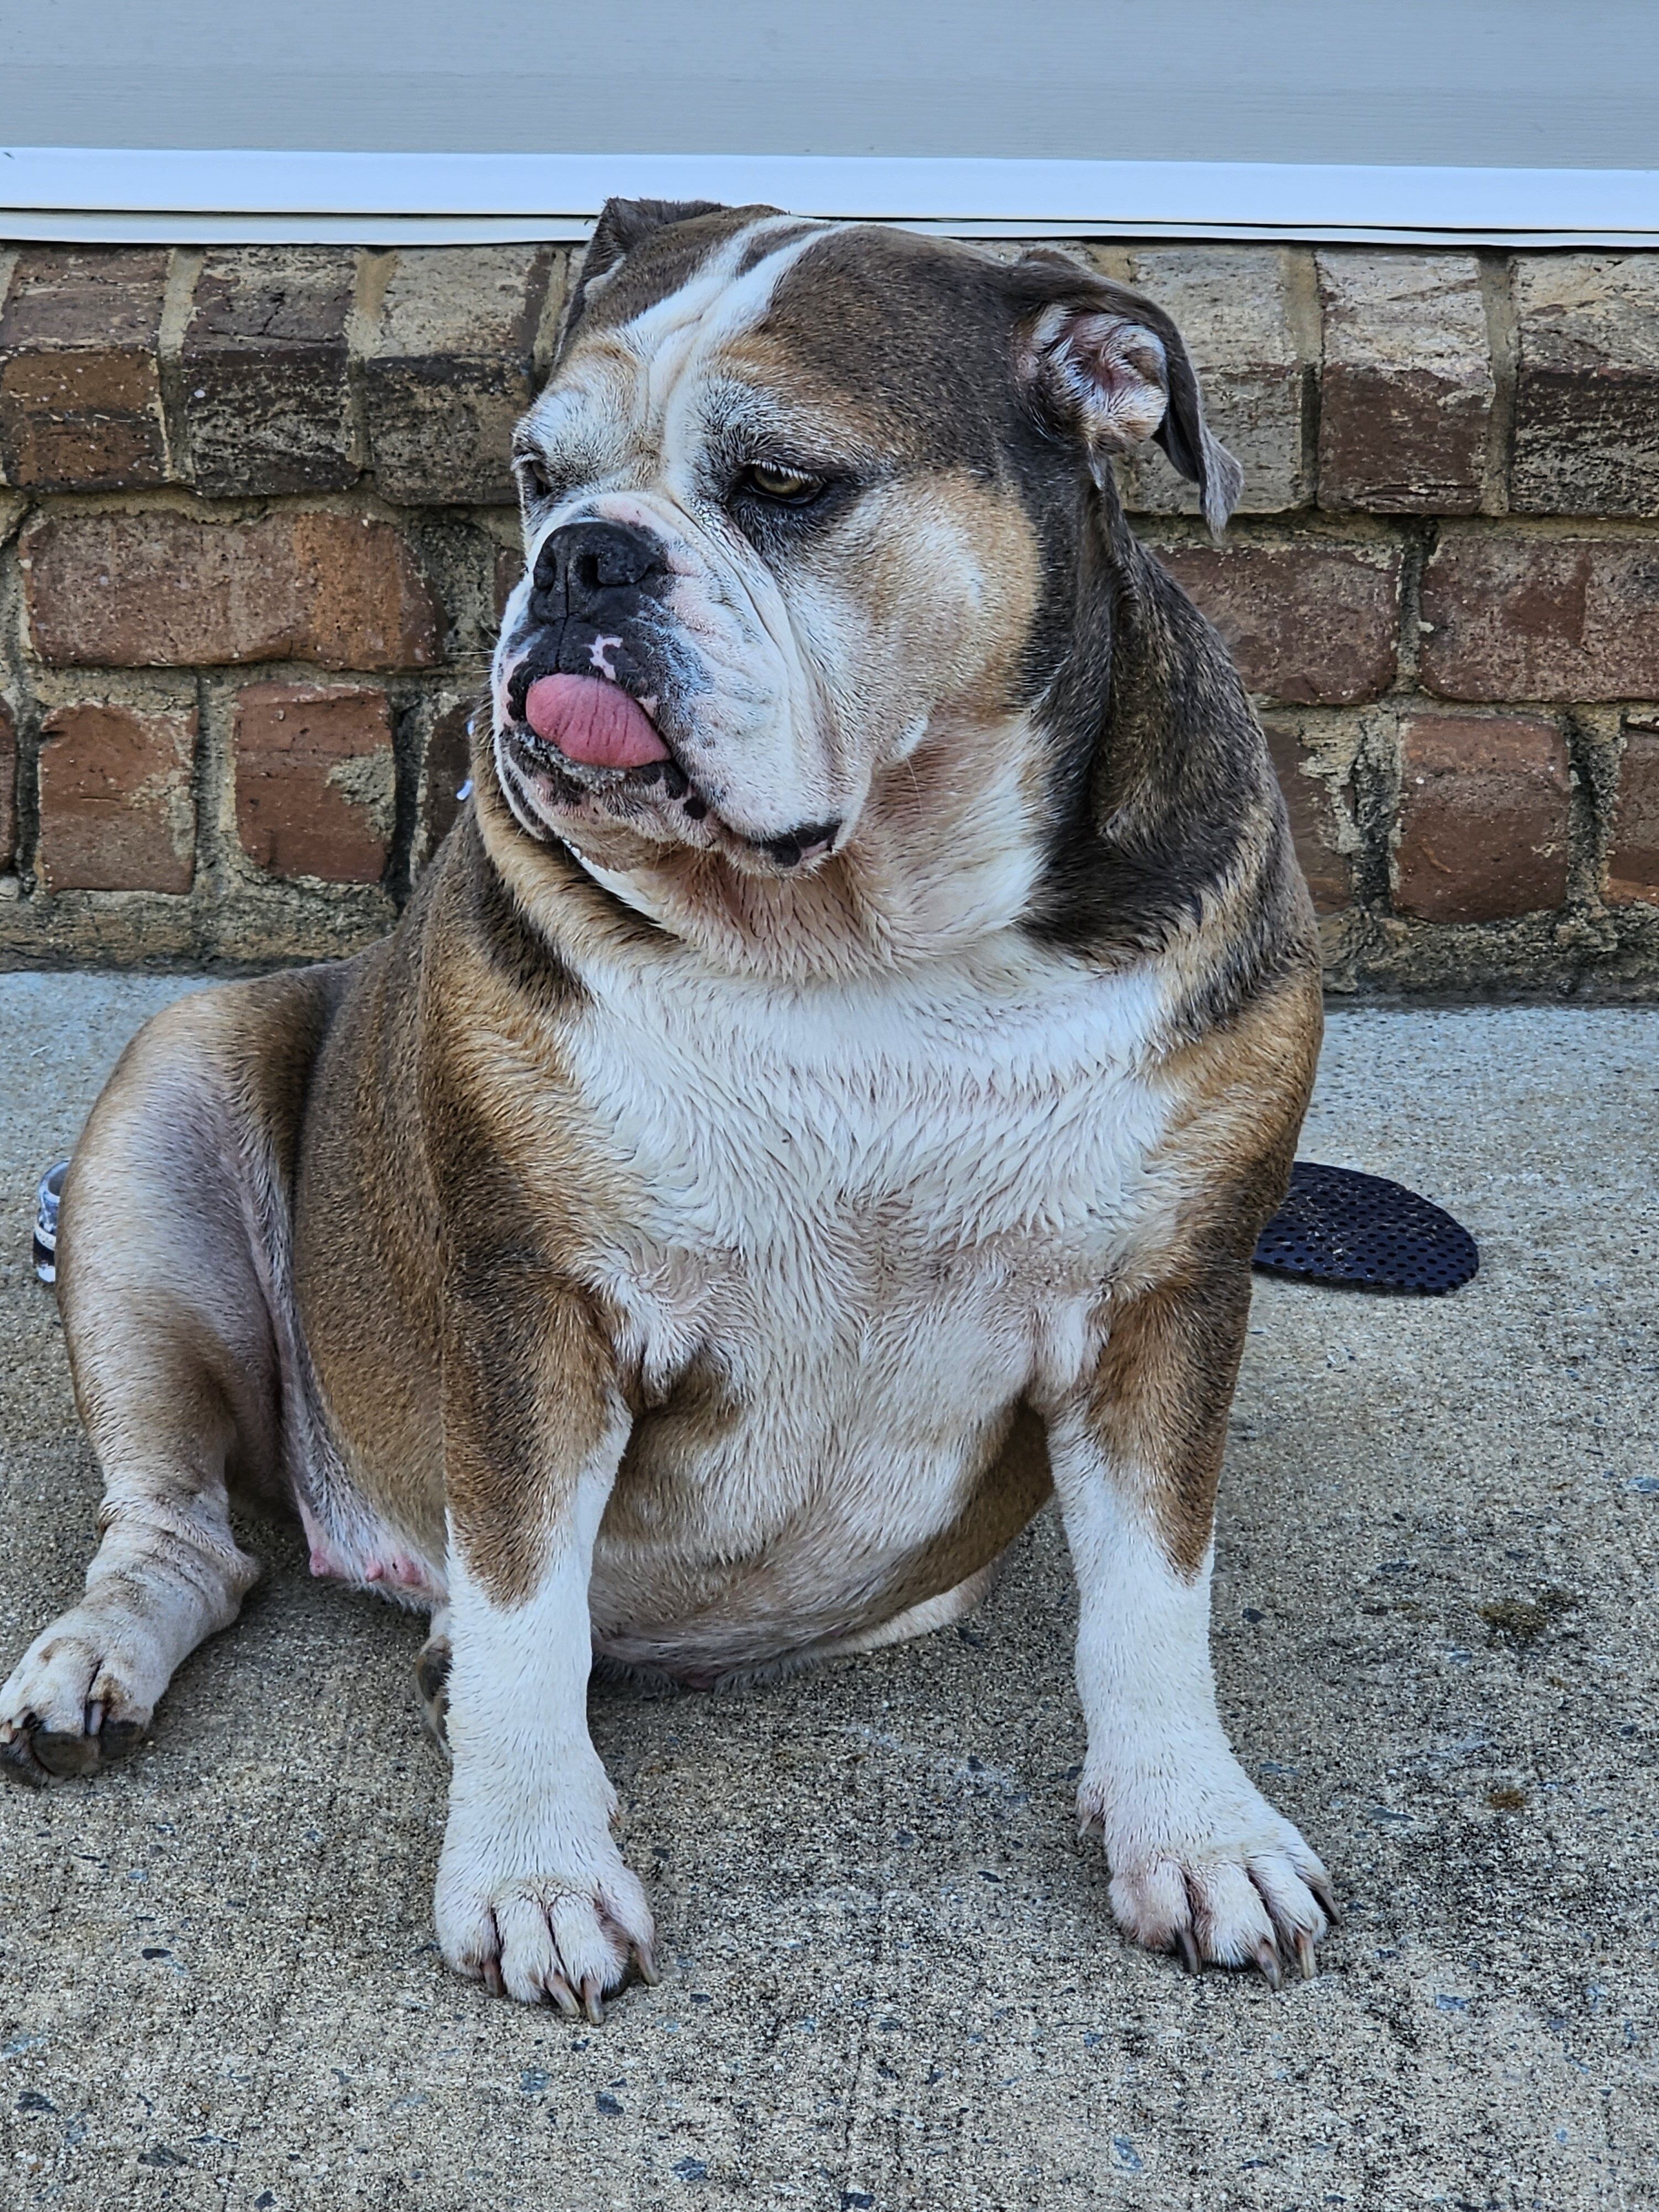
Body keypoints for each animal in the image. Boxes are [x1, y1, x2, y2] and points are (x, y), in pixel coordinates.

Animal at [0, 201, 1333, 2014]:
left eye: (782, 484)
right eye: (536, 473)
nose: (585, 558)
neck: (857, 938)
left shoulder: (1168, 1299)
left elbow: (1151, 1606)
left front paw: (1193, 1830)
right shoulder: (532, 1307)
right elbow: (521, 1611)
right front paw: (532, 1867)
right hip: (167, 1108)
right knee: (186, 1536)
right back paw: (94, 1666)